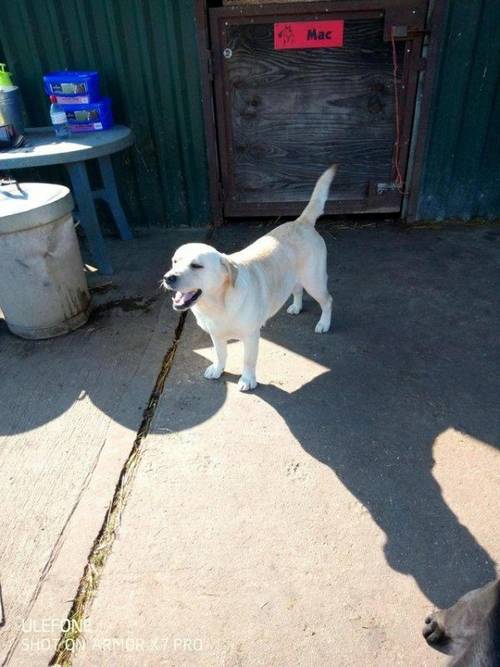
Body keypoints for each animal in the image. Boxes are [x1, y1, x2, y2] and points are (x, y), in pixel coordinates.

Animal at [163, 165, 336, 392]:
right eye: (174, 261)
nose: (168, 278)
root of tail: (301, 221)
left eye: (196, 265)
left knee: (328, 301)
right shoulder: (215, 335)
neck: (217, 304)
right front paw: (218, 369)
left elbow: (248, 360)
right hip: (294, 277)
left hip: (314, 281)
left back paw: (324, 324)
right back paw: (296, 307)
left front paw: (247, 380)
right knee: (297, 290)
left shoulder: (251, 336)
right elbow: (220, 353)